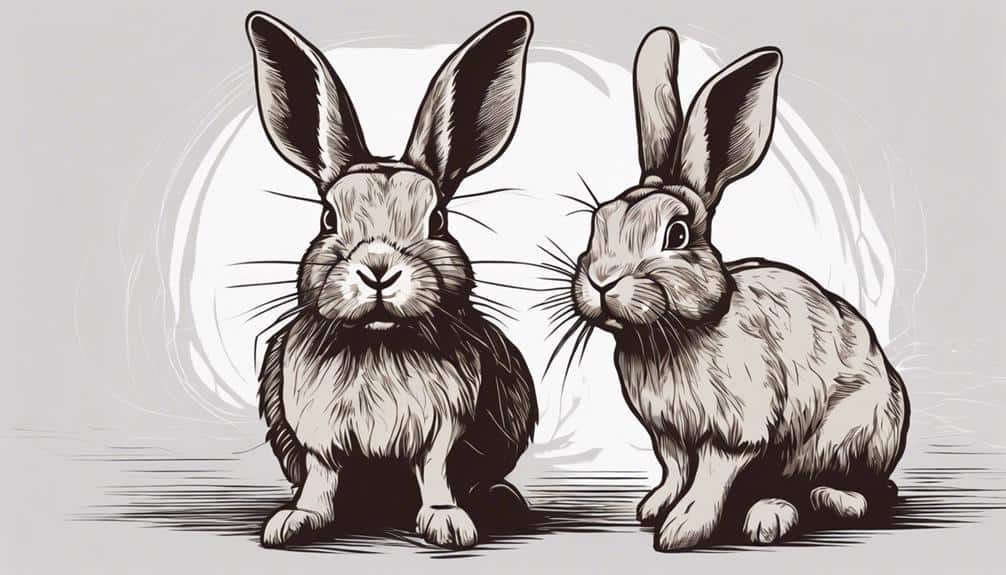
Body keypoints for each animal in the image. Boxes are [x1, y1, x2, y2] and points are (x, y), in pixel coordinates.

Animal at [246, 11, 537, 549]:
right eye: (328, 219)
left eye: (438, 220)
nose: (378, 270)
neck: (378, 342)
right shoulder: (316, 434)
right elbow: (320, 477)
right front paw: (294, 521)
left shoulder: (443, 429)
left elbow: (437, 471)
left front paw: (448, 523)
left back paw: (501, 500)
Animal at [565, 28, 909, 551]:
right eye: (598, 222)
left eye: (677, 235)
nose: (602, 281)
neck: (678, 332)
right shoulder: (669, 435)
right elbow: (675, 469)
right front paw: (655, 507)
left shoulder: (735, 430)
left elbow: (710, 477)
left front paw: (681, 530)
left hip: (851, 437)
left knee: (847, 485)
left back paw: (814, 506)